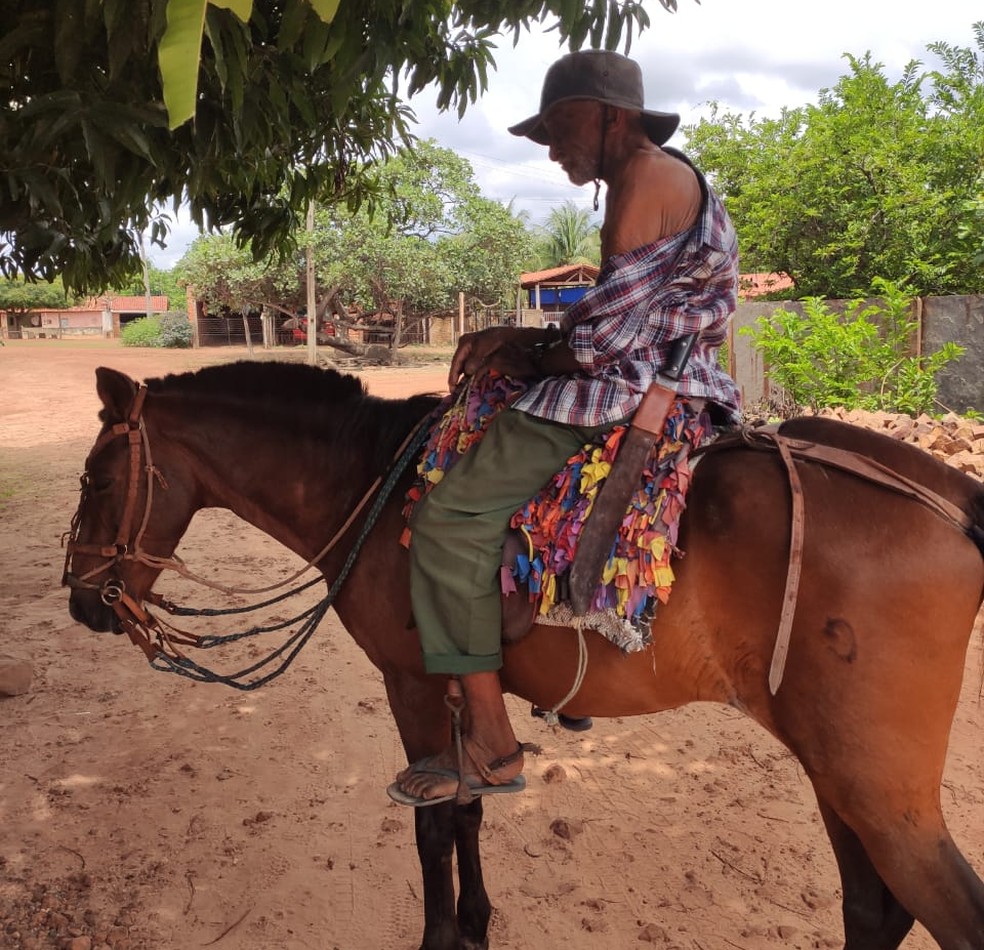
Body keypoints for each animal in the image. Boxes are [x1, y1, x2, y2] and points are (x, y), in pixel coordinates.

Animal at [65, 360, 984, 948]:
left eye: (98, 482)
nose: (80, 599)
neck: (369, 480)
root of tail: (946, 493)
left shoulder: (412, 685)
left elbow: (434, 823)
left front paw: (441, 937)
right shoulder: (460, 694)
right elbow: (468, 807)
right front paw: (475, 923)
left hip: (882, 792)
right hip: (837, 774)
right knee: (872, 911)